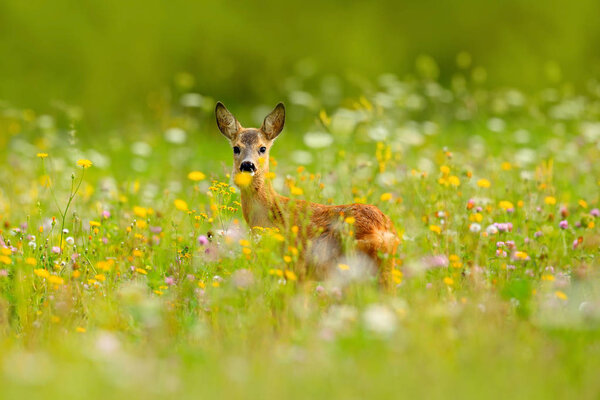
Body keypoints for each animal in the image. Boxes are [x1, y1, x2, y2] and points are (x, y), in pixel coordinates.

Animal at [214, 100, 398, 288]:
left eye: (262, 148)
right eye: (236, 148)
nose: (247, 165)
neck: (270, 214)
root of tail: (384, 231)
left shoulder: (298, 268)